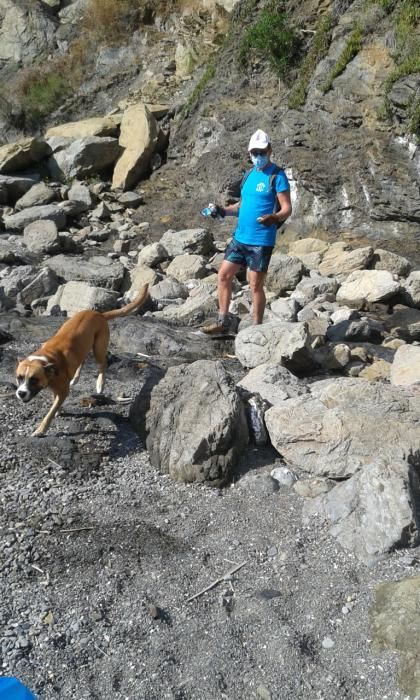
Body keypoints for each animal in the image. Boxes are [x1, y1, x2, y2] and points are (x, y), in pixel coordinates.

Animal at [15, 284, 149, 434]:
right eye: (19, 377)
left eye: (34, 379)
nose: (21, 393)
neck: (47, 360)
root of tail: (98, 314)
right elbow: (55, 401)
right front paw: (58, 409)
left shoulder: (63, 391)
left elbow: (50, 412)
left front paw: (41, 429)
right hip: (84, 346)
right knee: (82, 360)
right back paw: (75, 378)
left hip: (98, 348)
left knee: (103, 364)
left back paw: (100, 384)